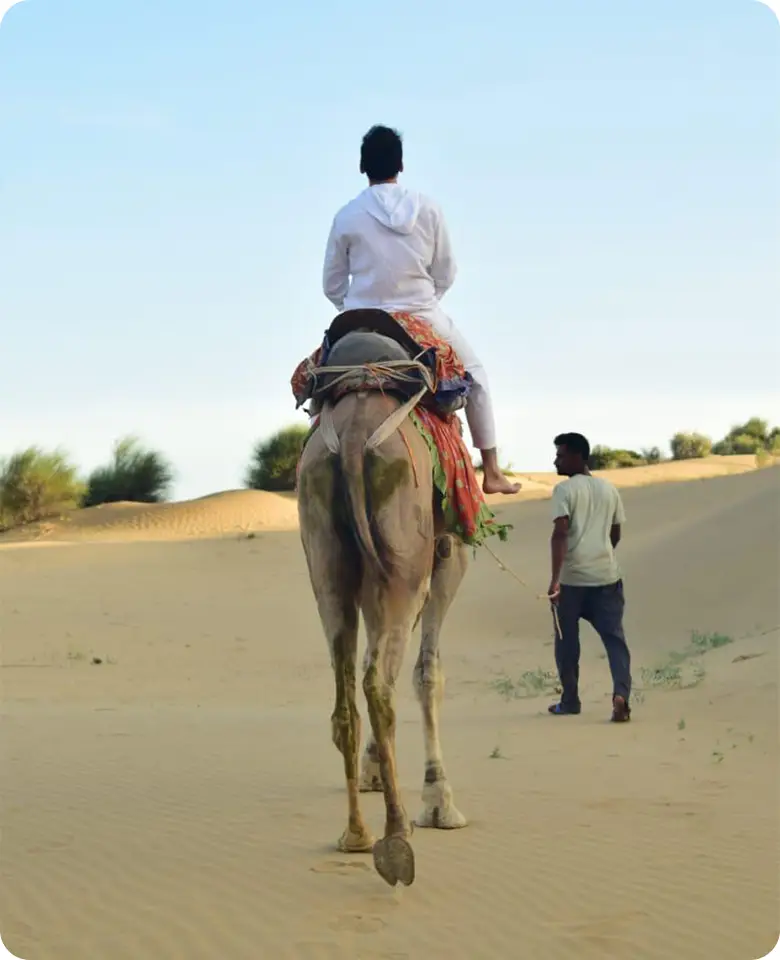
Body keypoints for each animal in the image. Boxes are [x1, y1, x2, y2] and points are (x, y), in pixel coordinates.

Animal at [297, 326, 470, 888]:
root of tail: (353, 437)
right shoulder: (448, 556)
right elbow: (428, 673)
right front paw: (440, 802)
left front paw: (376, 770)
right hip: (406, 550)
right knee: (379, 682)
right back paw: (396, 841)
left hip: (327, 555)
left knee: (349, 691)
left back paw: (356, 834)